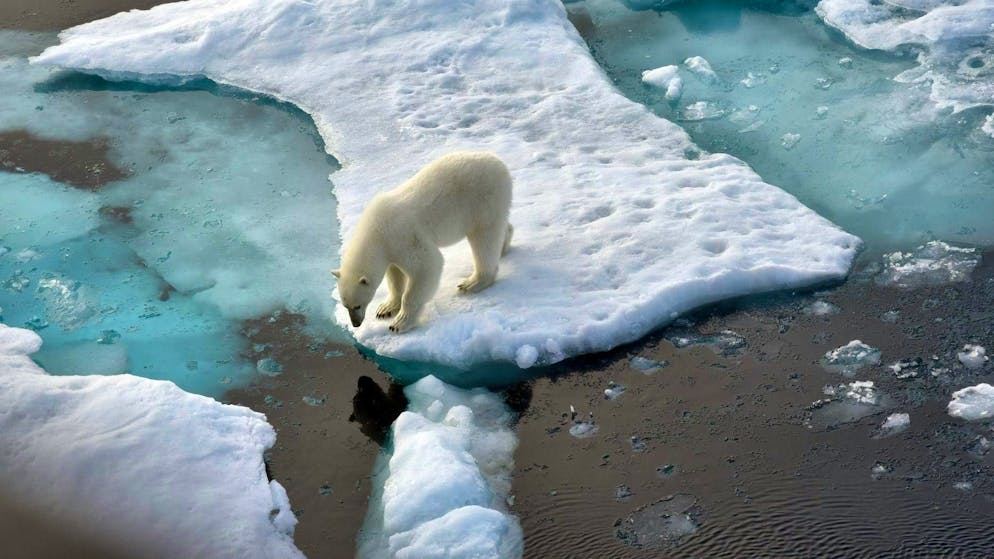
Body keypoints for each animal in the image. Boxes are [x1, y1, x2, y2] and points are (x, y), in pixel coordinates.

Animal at [333, 151, 513, 333]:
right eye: (345, 305)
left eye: (357, 305)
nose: (356, 323)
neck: (375, 231)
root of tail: (498, 162)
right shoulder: (390, 248)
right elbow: (395, 275)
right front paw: (385, 309)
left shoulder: (403, 236)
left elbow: (427, 266)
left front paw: (399, 323)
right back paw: (503, 246)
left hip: (483, 199)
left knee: (484, 238)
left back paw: (472, 282)